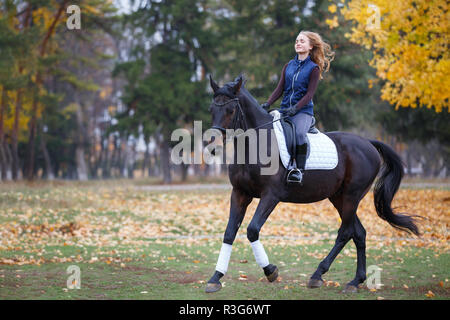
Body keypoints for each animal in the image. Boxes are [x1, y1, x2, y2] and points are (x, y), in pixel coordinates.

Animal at [206, 74, 420, 292]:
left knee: (346, 232)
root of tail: (368, 143)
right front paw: (215, 278)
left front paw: (271, 271)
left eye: (231, 110)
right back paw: (355, 281)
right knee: (359, 233)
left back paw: (319, 274)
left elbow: (252, 230)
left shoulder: (270, 196)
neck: (256, 144)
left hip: (351, 196)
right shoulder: (240, 193)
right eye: (212, 109)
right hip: (339, 198)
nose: (212, 146)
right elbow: (229, 233)